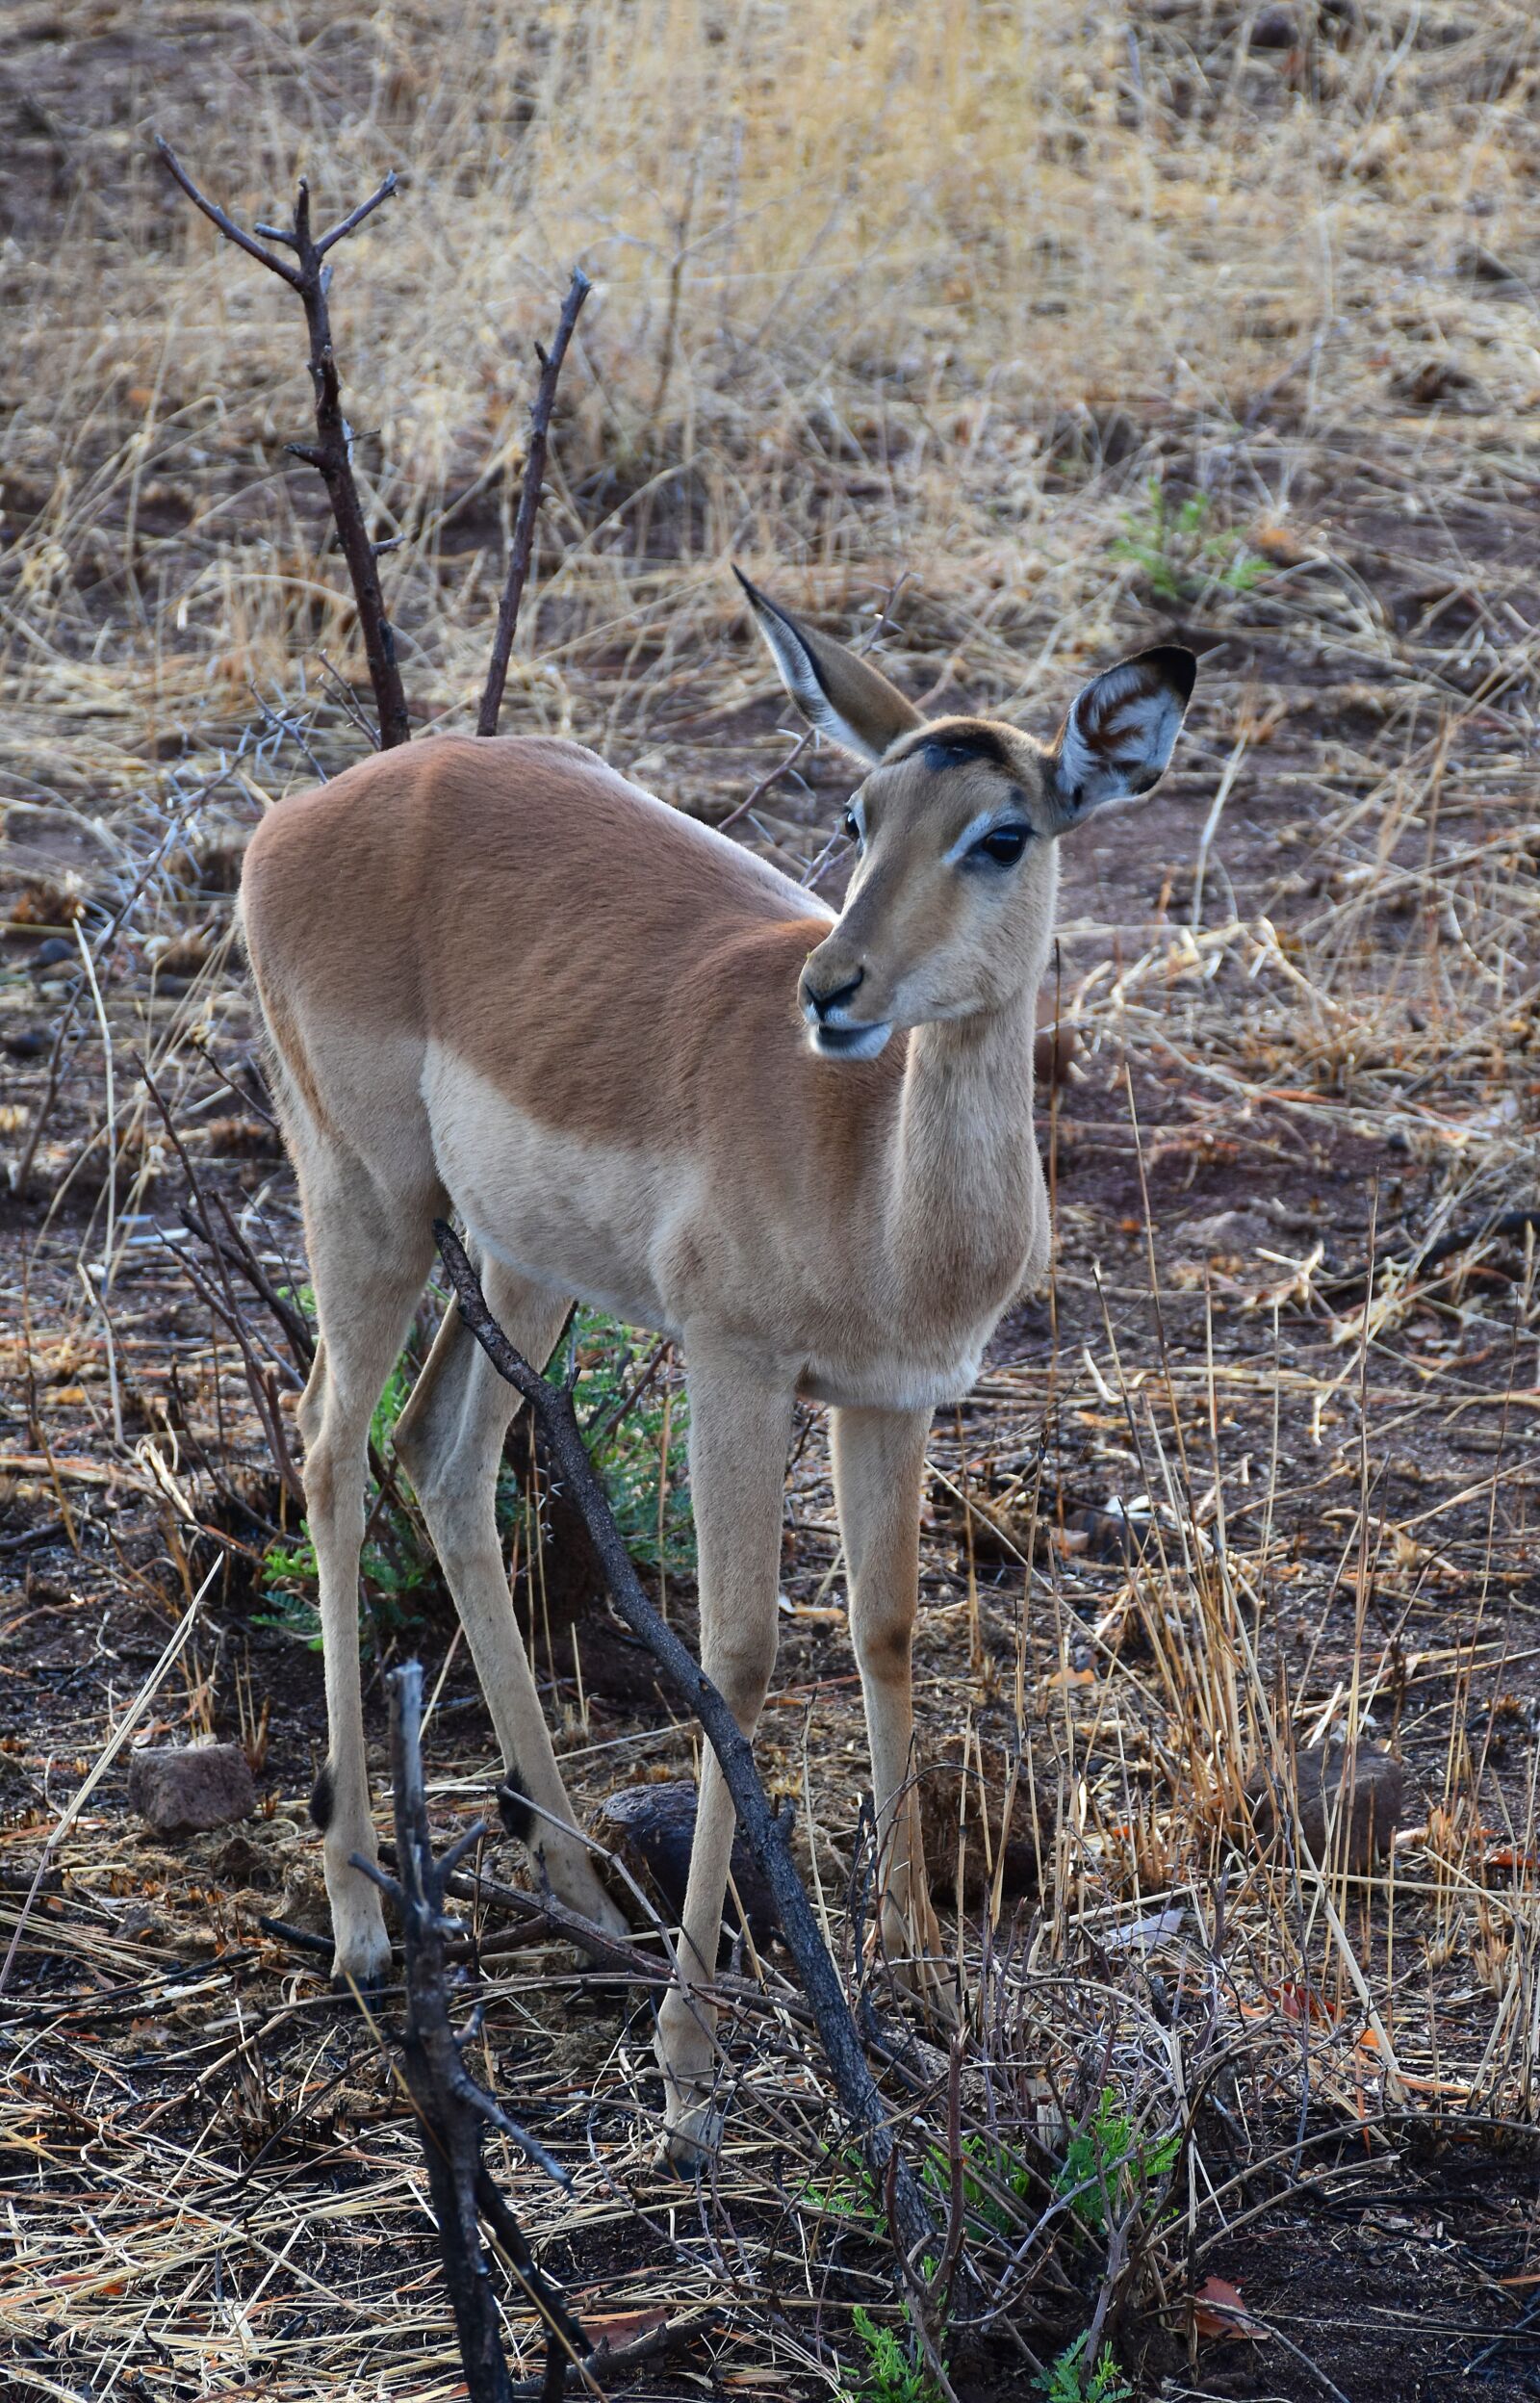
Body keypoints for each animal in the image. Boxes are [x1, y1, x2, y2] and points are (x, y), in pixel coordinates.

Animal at [240, 571, 1194, 2162]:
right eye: (861, 812)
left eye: (1003, 832)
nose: (836, 989)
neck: (872, 1181)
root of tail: (310, 813)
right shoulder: (735, 1371)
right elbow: (735, 1664)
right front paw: (689, 2082)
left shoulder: (892, 1400)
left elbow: (887, 1631)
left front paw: (919, 1973)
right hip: (367, 1203)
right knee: (327, 1450)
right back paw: (367, 1920)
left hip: (520, 1267)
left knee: (442, 1454)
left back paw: (573, 1887)